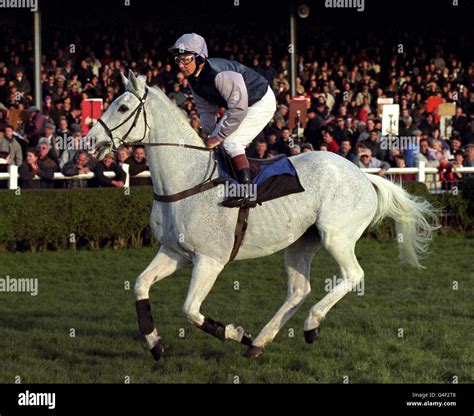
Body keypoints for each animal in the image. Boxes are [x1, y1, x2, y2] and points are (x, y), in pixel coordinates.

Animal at [88, 70, 436, 358]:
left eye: (122, 108)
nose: (90, 141)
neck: (188, 179)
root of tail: (363, 175)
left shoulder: (209, 260)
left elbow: (190, 309)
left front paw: (234, 332)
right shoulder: (174, 252)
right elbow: (140, 285)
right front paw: (155, 343)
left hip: (335, 236)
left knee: (353, 275)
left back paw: (310, 325)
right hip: (301, 242)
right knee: (299, 290)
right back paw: (259, 342)